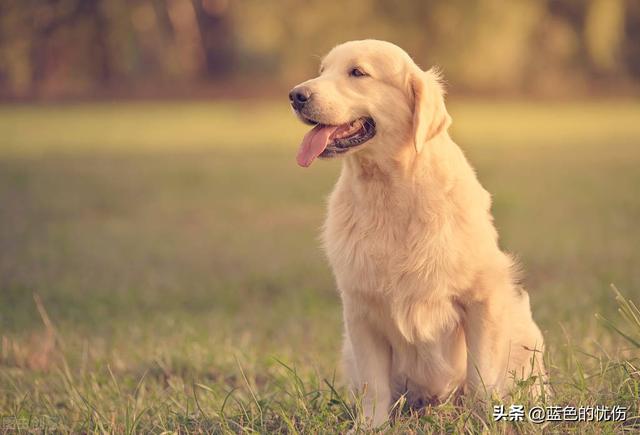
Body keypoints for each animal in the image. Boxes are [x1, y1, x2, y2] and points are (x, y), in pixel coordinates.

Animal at [290, 39, 544, 428]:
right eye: (322, 71)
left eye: (358, 72)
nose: (295, 95)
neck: (390, 190)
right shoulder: (361, 311)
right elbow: (374, 386)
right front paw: (371, 427)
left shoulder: (482, 299)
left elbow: (482, 376)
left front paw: (485, 422)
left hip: (525, 331)